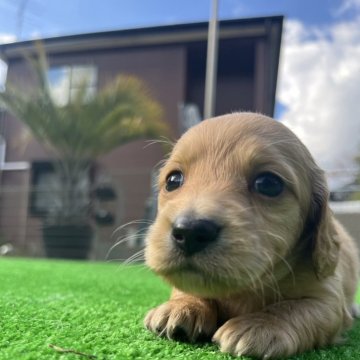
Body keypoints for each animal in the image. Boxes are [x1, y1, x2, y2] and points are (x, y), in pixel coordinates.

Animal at [144, 112, 360, 358]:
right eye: (173, 180)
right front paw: (182, 306)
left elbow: (292, 307)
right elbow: (187, 287)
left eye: (268, 184)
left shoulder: (328, 300)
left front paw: (261, 326)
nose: (189, 231)